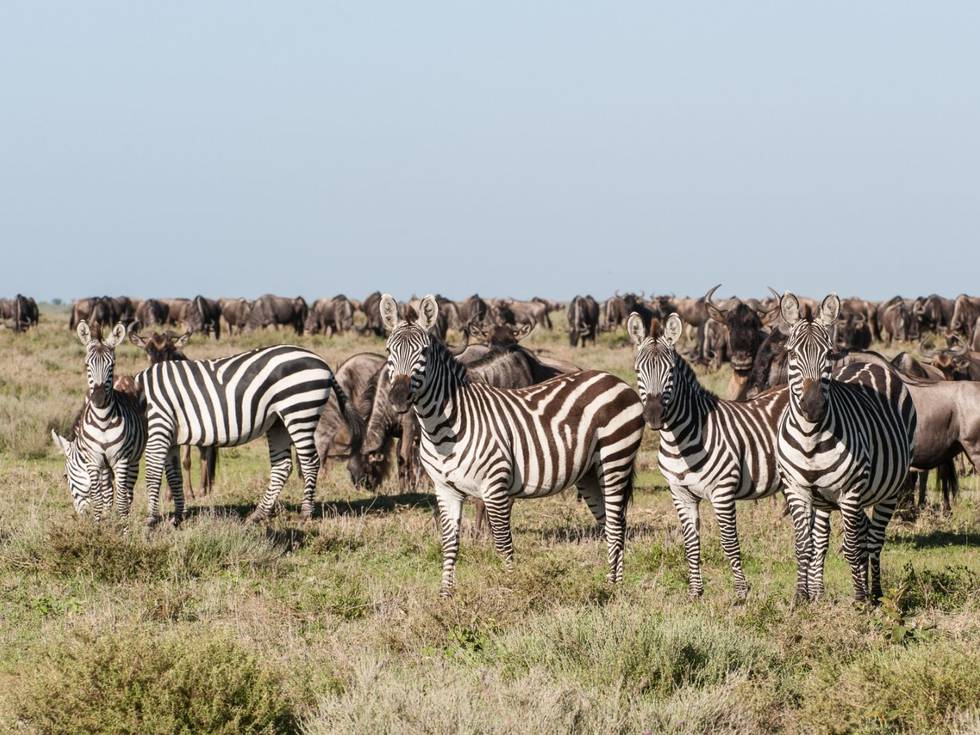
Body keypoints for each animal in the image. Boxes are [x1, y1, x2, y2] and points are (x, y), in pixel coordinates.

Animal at [51, 321, 147, 518]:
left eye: (112, 365)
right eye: (87, 364)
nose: (99, 398)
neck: (103, 422)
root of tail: (124, 377)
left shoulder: (121, 459)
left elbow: (121, 499)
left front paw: (122, 525)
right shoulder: (94, 461)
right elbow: (98, 498)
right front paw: (98, 523)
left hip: (133, 459)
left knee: (127, 492)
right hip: (105, 466)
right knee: (107, 492)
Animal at [131, 341, 362, 525]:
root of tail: (323, 363)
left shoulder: (159, 428)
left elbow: (152, 474)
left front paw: (151, 519)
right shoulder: (170, 438)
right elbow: (174, 475)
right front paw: (178, 516)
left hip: (299, 410)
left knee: (310, 462)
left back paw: (305, 513)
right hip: (278, 422)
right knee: (282, 466)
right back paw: (258, 515)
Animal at [380, 293, 645, 597]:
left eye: (423, 352)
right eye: (388, 350)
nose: (398, 398)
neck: (443, 428)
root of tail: (613, 378)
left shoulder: (494, 486)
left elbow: (503, 543)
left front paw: (511, 590)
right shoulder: (445, 489)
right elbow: (449, 543)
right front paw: (445, 595)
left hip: (615, 459)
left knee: (617, 522)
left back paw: (617, 587)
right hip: (590, 472)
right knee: (610, 523)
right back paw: (611, 584)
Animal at [628, 311, 789, 601]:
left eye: (670, 371)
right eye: (638, 371)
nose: (654, 415)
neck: (679, 440)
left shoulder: (722, 491)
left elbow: (729, 541)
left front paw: (741, 594)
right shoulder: (679, 493)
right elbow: (691, 542)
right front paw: (695, 592)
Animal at [776, 292, 916, 603]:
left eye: (829, 354)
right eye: (791, 355)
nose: (813, 407)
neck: (810, 438)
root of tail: (874, 364)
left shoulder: (850, 491)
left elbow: (852, 547)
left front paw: (860, 600)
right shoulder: (796, 489)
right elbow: (804, 545)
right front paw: (801, 597)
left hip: (890, 489)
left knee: (873, 540)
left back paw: (875, 593)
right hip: (833, 498)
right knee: (844, 536)